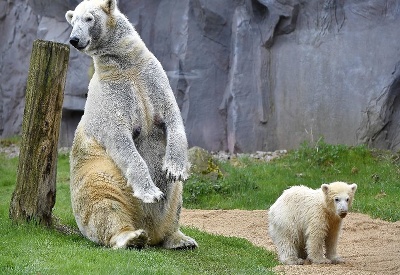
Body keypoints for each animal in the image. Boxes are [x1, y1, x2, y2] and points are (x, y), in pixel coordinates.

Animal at [65, 0, 198, 250]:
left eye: (88, 18)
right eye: (73, 20)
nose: (74, 39)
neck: (125, 64)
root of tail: (152, 229)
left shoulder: (151, 77)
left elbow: (173, 117)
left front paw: (174, 168)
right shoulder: (111, 97)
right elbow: (121, 139)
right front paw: (151, 193)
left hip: (173, 201)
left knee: (175, 202)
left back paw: (180, 239)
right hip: (101, 177)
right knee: (104, 204)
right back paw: (132, 236)